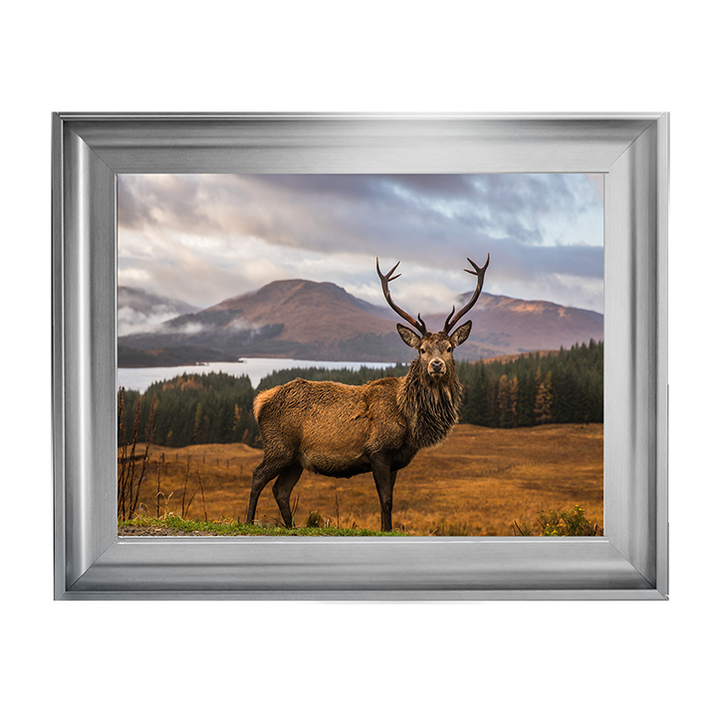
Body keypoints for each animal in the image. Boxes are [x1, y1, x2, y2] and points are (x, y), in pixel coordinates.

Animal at [245, 255, 490, 532]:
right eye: (422, 350)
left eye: (449, 348)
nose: (436, 365)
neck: (409, 420)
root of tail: (260, 401)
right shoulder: (378, 450)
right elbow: (385, 500)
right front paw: (385, 529)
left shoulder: (396, 459)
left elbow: (390, 499)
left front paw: (387, 528)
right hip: (279, 446)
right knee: (257, 476)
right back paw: (249, 521)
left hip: (296, 459)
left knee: (281, 490)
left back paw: (291, 527)